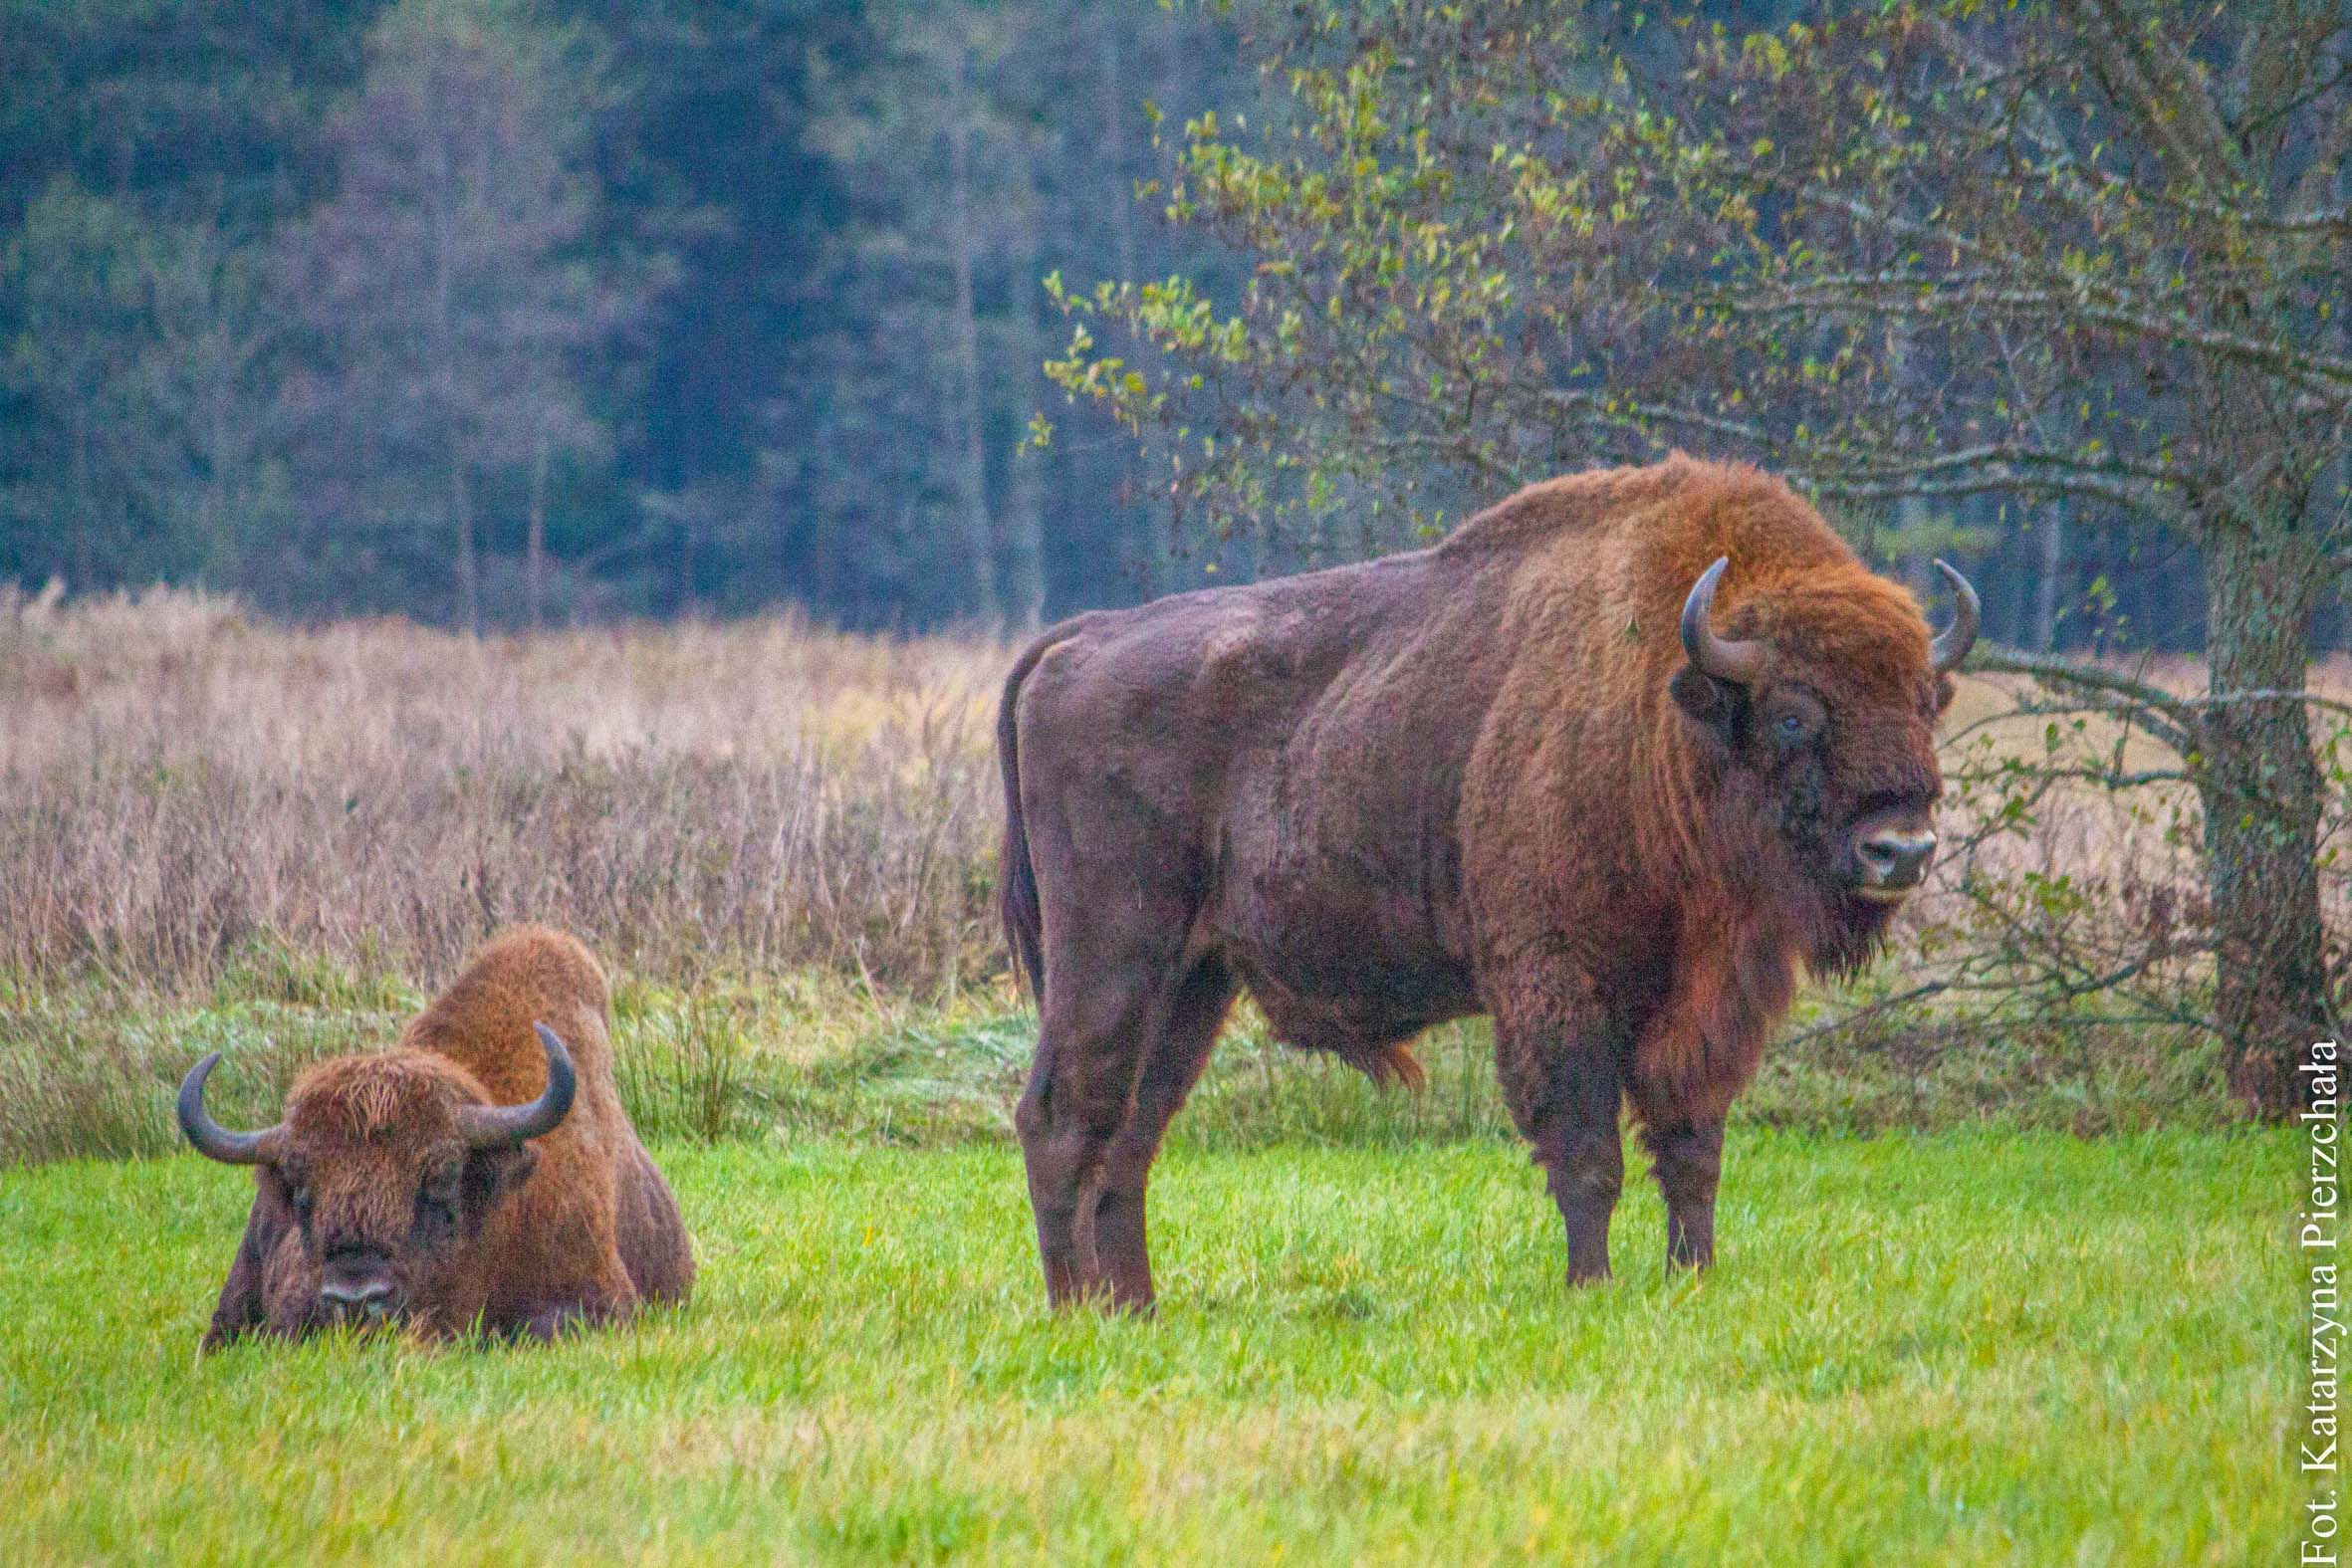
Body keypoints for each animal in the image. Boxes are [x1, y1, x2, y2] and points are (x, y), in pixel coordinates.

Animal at [1002, 456, 1976, 1316]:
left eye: (1924, 700)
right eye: (1793, 715)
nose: (1901, 848)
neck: (1662, 710)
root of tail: (1077, 639)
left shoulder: (1707, 1003)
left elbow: (1691, 1147)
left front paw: (1691, 1277)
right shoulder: (1555, 980)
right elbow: (1586, 1150)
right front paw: (1592, 1286)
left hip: (1193, 980)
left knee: (1130, 1132)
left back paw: (1136, 1309)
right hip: (1113, 955)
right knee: (1062, 1115)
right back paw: (1076, 1310)